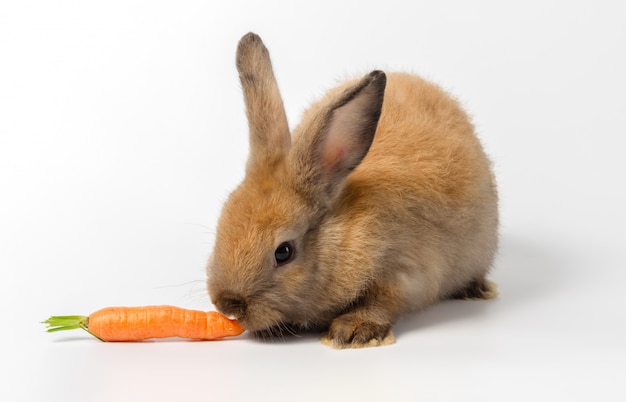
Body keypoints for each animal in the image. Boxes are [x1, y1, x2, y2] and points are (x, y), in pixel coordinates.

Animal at [206, 32, 498, 348]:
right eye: (222, 224)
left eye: (283, 252)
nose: (228, 303)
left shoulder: (402, 271)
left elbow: (382, 300)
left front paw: (353, 332)